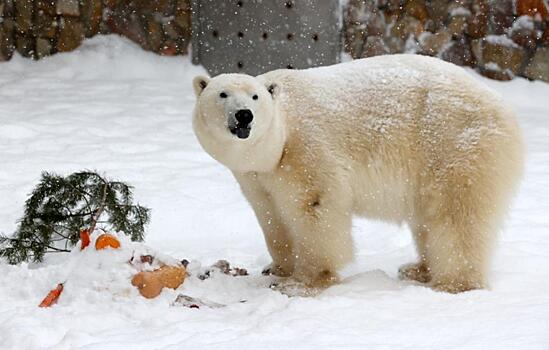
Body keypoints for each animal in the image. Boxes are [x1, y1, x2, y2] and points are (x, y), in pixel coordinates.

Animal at [192, 54, 524, 294]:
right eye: (222, 94)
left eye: (255, 97)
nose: (243, 115)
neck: (280, 139)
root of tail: (505, 111)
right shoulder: (256, 176)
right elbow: (271, 214)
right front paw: (277, 268)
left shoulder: (307, 147)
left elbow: (314, 207)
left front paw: (304, 282)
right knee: (428, 218)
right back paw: (416, 269)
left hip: (453, 145)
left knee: (456, 216)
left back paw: (452, 283)